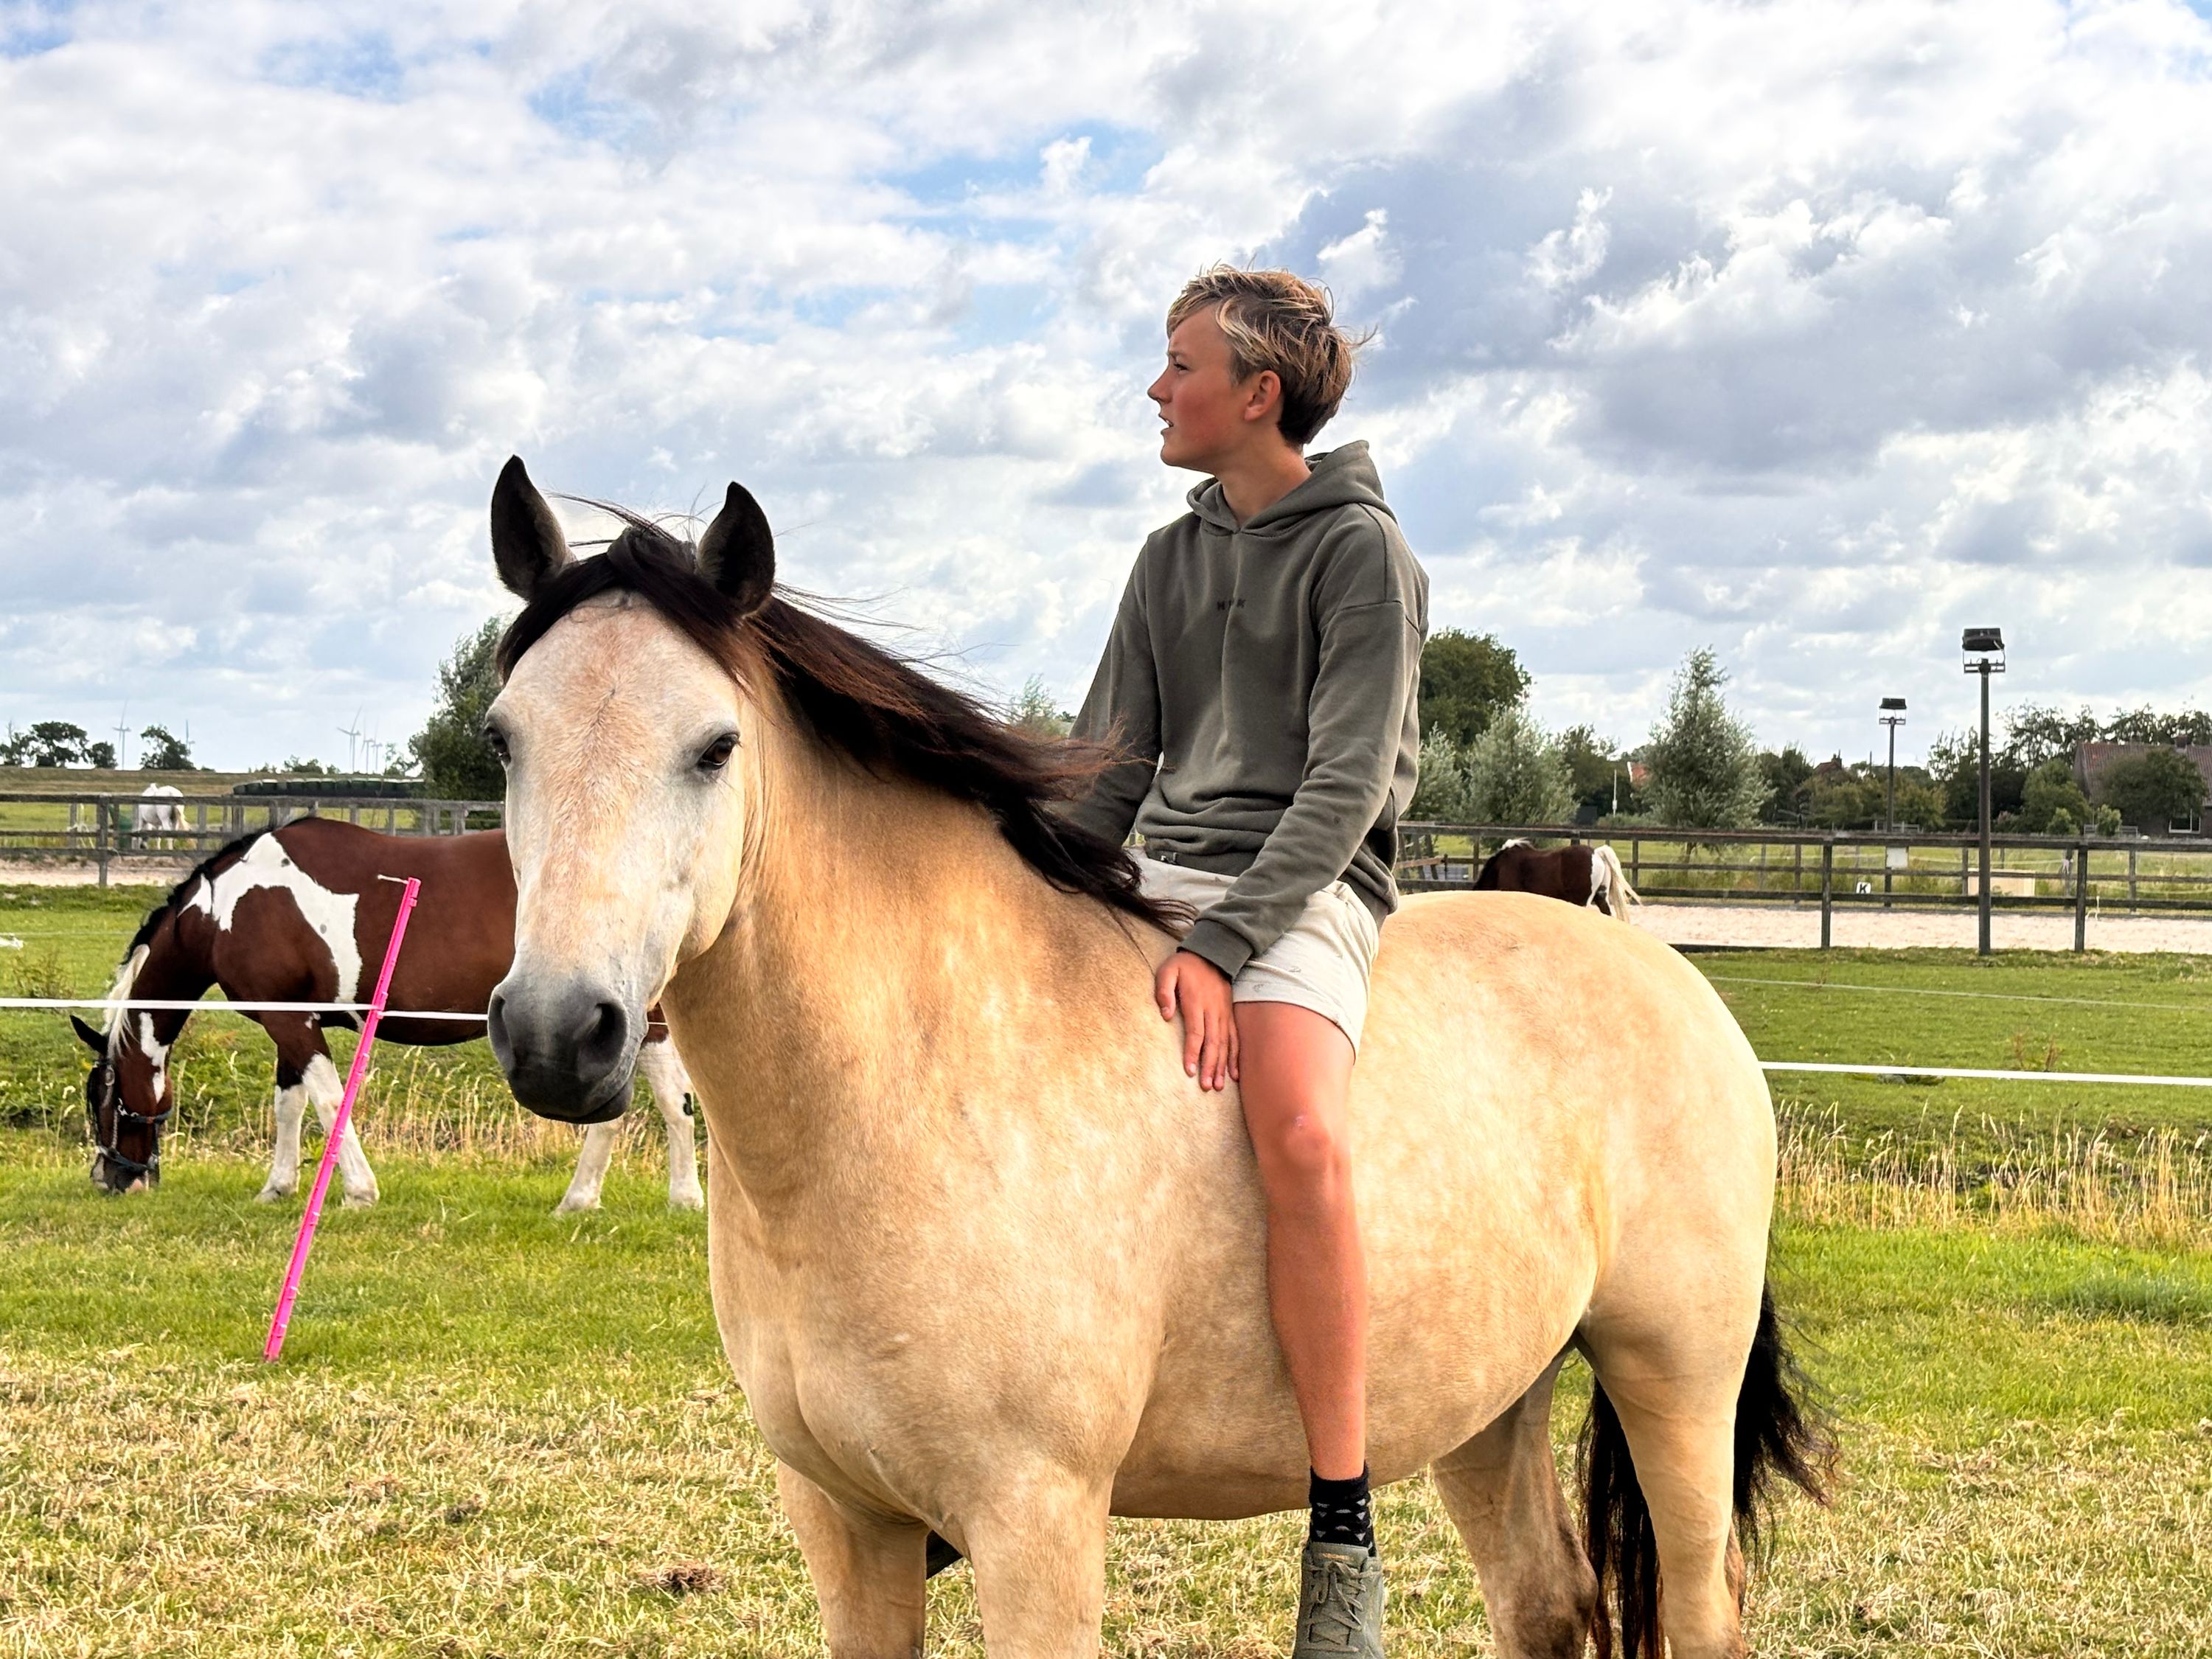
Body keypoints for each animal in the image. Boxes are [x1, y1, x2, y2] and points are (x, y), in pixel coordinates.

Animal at [71, 816, 701, 1215]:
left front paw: (358, 1192)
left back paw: (635, 1198)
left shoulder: (290, 1022)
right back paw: (622, 1199)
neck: (226, 909)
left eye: (101, 1098)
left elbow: (327, 1103)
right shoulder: (290, 1021)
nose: (111, 1180)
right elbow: (288, 1106)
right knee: (654, 1105)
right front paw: (277, 1187)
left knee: (657, 1104)